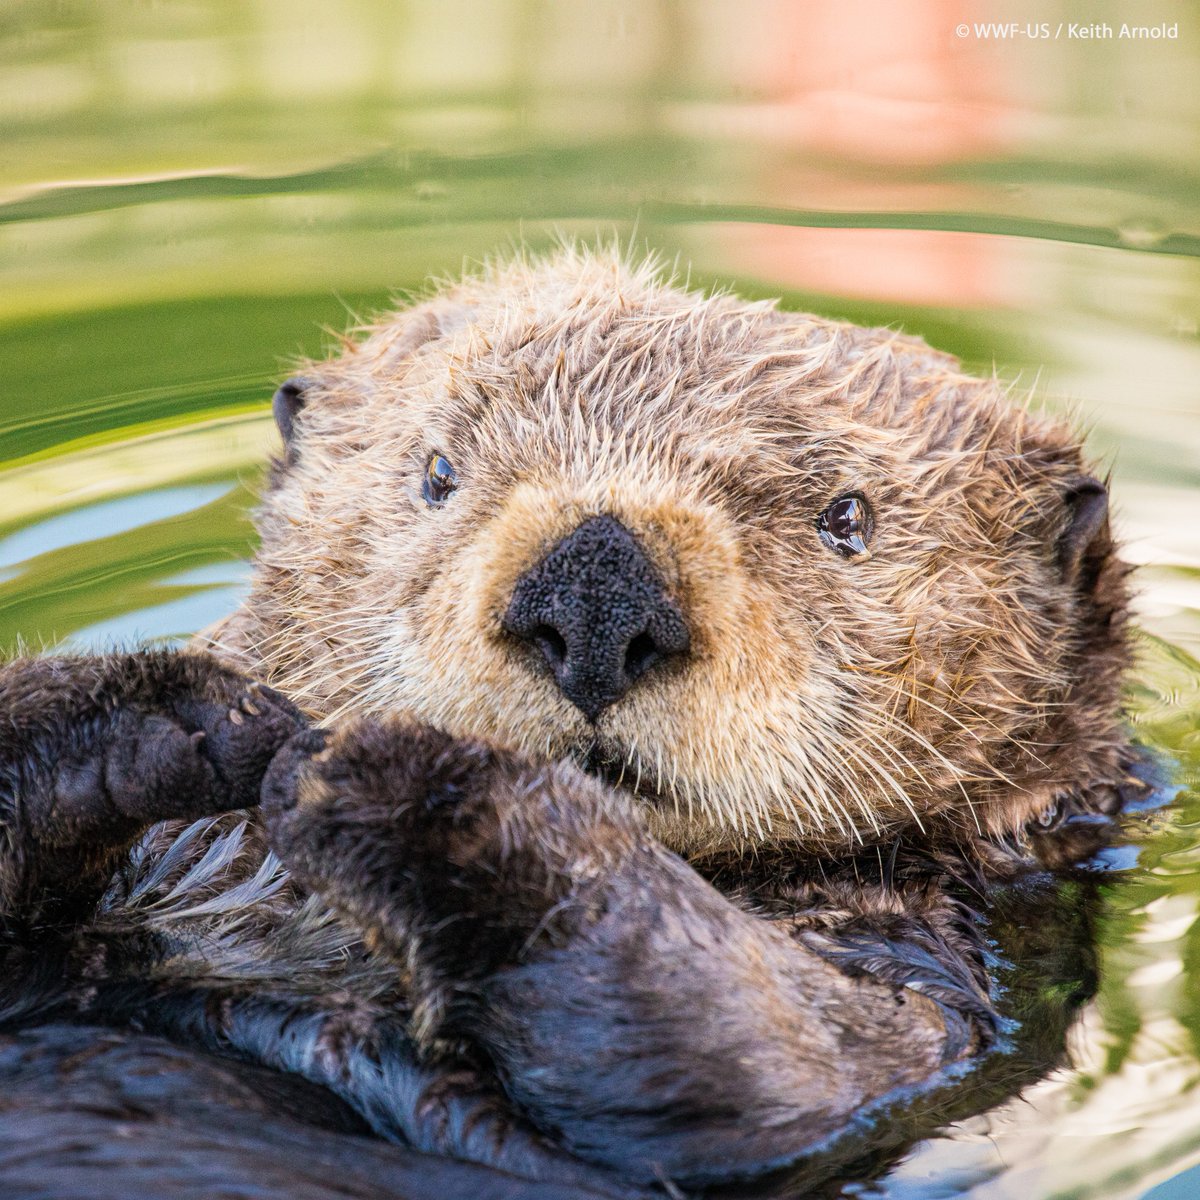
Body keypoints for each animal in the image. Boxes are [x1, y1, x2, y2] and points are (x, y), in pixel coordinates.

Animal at [0, 248, 1142, 1198]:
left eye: (846, 519)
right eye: (437, 475)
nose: (596, 590)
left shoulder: (935, 986)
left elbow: (772, 1055)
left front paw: (403, 779)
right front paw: (166, 714)